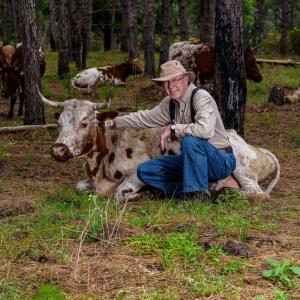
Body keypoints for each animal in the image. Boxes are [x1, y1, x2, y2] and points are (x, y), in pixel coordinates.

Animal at [38, 89, 280, 202]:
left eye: (84, 122)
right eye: (59, 123)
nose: (58, 149)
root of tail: (259, 150)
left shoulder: (135, 174)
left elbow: (120, 193)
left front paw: (138, 195)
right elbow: (79, 187)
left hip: (241, 168)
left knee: (258, 194)